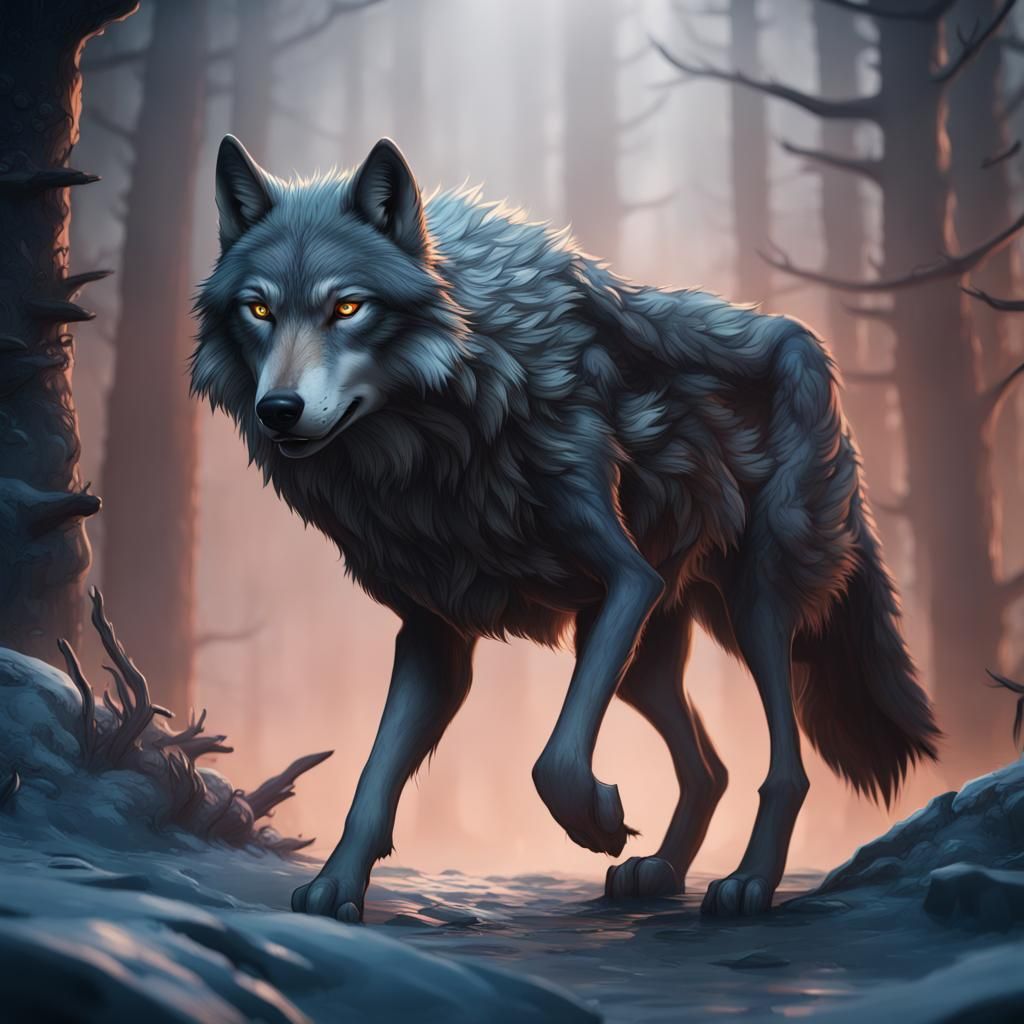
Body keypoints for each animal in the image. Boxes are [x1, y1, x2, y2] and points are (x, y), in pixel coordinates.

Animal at [192, 135, 939, 922]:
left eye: (347, 306)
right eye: (258, 309)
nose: (279, 409)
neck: (439, 435)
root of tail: (810, 346)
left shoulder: (626, 578)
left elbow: (553, 761)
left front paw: (596, 820)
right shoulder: (433, 633)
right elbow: (374, 776)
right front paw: (336, 887)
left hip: (753, 609)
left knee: (784, 769)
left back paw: (748, 885)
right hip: (643, 655)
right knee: (711, 769)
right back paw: (659, 871)